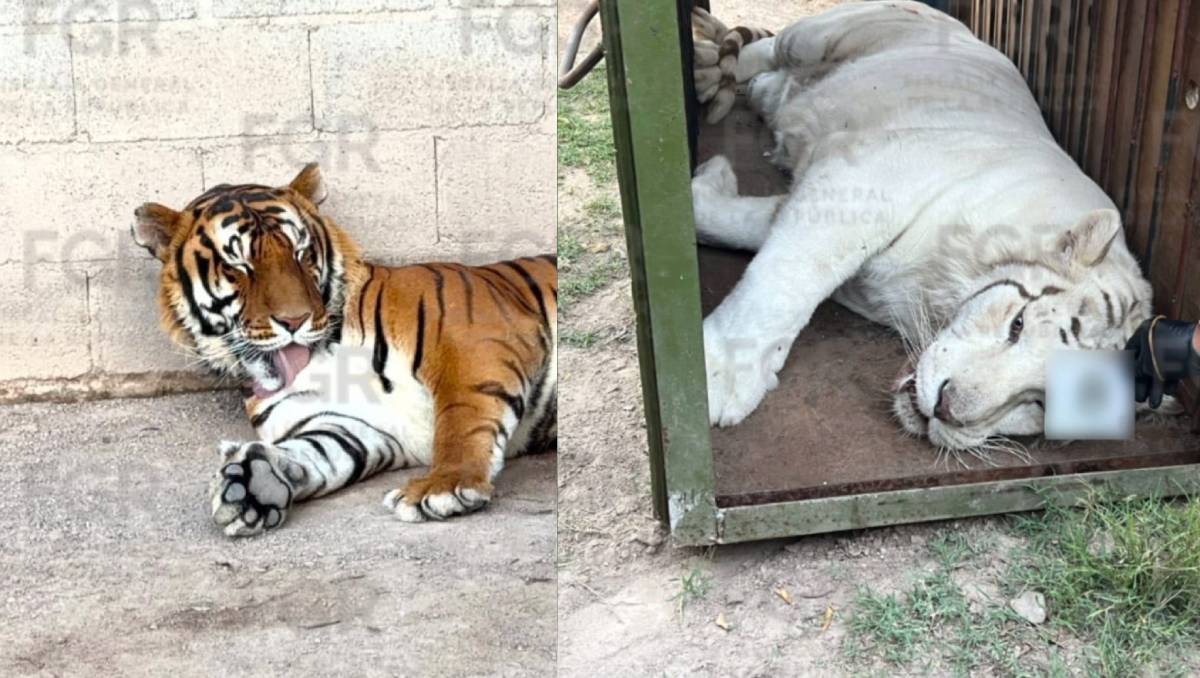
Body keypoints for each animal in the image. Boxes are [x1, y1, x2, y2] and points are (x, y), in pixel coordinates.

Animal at [131, 163, 557, 536]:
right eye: (239, 266)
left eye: (301, 254)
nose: (294, 321)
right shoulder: (350, 425)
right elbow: (313, 452)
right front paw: (252, 486)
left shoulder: (475, 340)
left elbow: (462, 420)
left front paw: (443, 486)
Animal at [690, 2, 1169, 453]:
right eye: (1017, 325)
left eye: (1040, 402)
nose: (945, 407)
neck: (941, 289)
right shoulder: (864, 179)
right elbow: (788, 277)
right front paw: (719, 376)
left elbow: (744, 228)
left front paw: (706, 185)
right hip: (814, 36)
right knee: (761, 50)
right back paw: (706, 73)